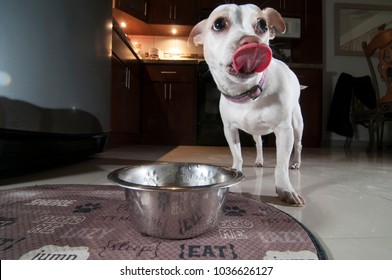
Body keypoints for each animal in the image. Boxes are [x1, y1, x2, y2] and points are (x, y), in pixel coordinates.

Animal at [188, 3, 304, 206]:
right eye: (218, 24)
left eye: (263, 25)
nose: (253, 41)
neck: (246, 94)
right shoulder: (229, 130)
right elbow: (237, 154)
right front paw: (236, 171)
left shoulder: (284, 132)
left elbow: (281, 165)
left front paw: (285, 188)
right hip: (256, 132)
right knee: (259, 145)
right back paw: (259, 160)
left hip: (296, 125)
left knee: (298, 146)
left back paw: (296, 163)